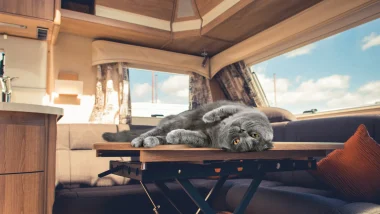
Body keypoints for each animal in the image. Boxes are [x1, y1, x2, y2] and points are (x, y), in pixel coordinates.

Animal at [101, 100, 274, 152]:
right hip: (180, 120)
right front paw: (208, 116)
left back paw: (151, 141)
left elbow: (190, 136)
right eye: (254, 135)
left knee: (162, 136)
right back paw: (139, 140)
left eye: (236, 141)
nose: (242, 131)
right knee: (152, 131)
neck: (220, 129)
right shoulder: (237, 108)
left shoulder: (206, 139)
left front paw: (175, 136)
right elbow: (222, 110)